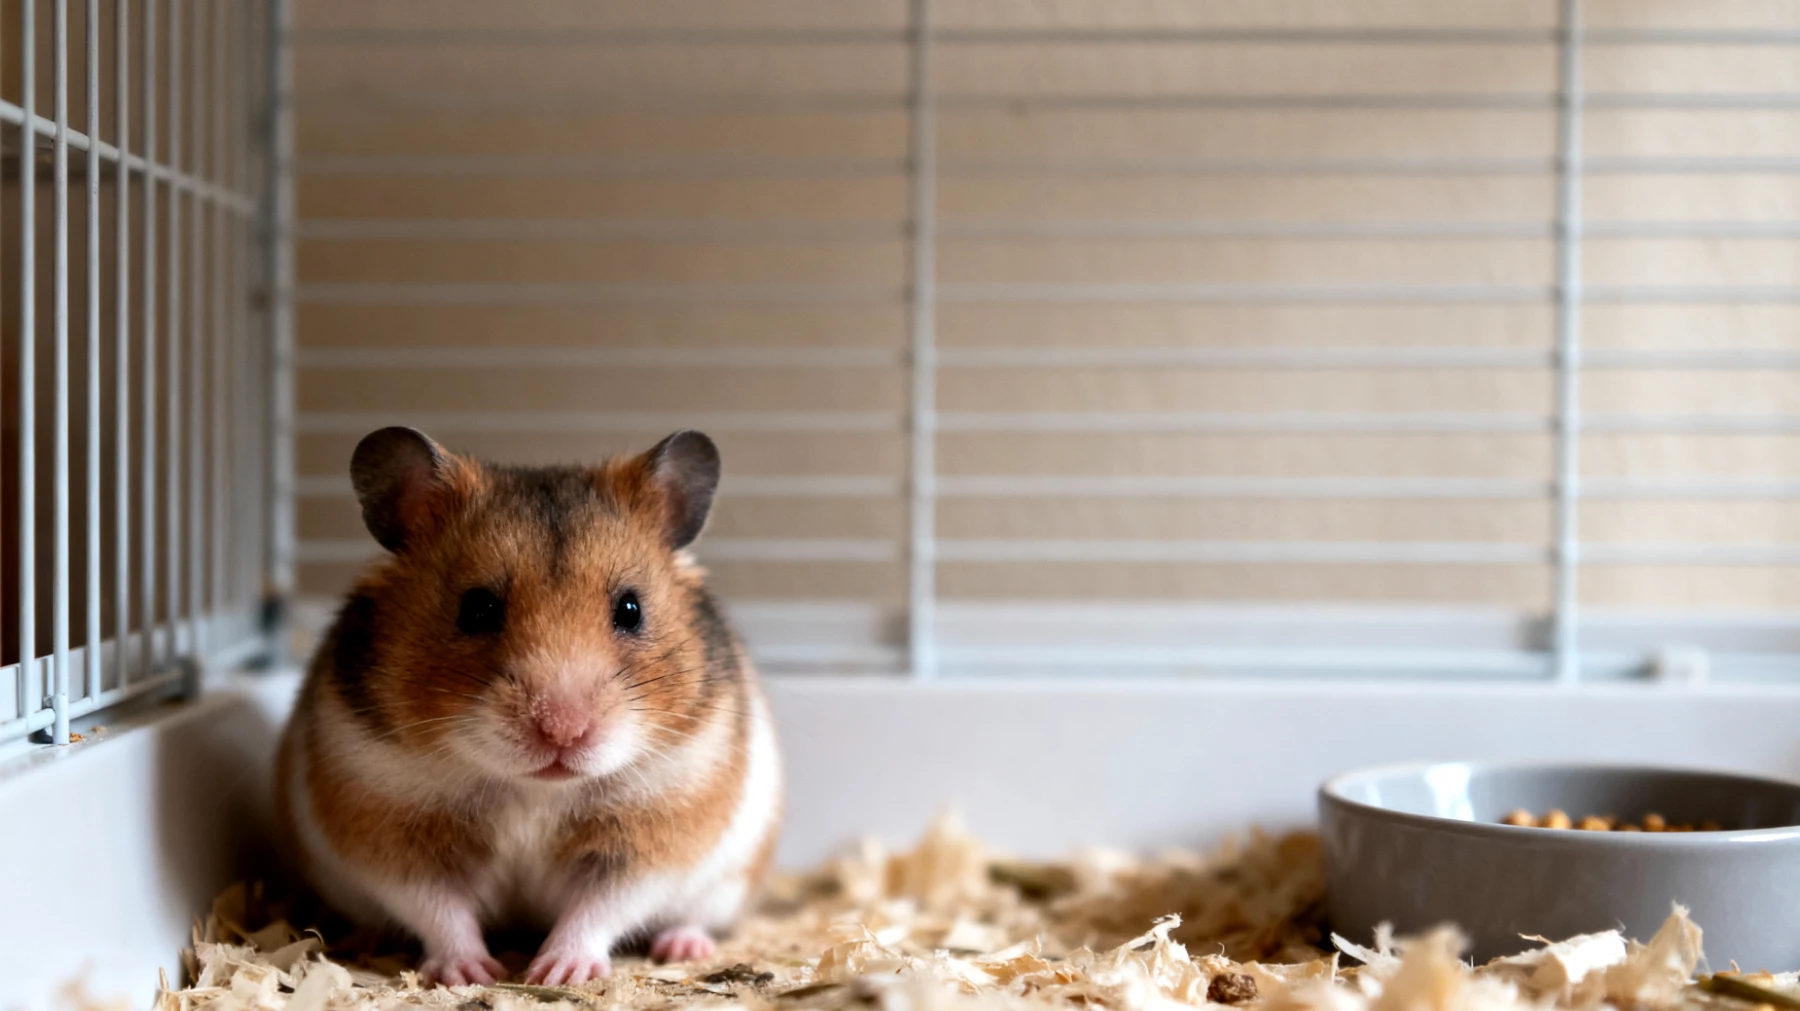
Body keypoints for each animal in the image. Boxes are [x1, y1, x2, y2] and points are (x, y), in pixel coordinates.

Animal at [275, 427, 782, 987]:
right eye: (476, 608)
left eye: (630, 609)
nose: (563, 731)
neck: (534, 791)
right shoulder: (387, 827)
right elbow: (437, 908)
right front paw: (472, 973)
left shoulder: (652, 836)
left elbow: (602, 907)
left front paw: (557, 973)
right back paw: (365, 940)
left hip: (725, 885)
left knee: (689, 916)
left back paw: (683, 947)